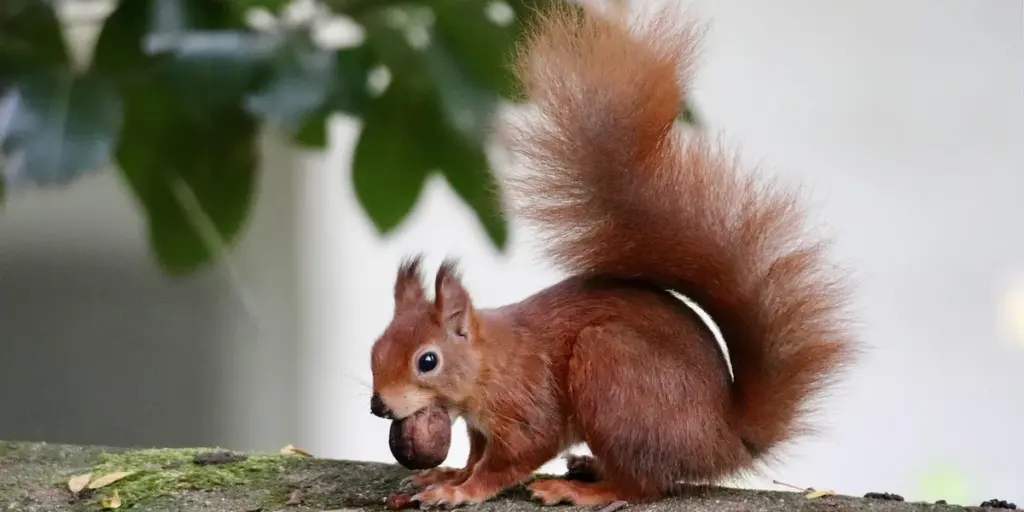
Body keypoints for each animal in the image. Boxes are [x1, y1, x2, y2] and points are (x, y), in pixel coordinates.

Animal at [368, 2, 857, 509]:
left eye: (427, 361)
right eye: (376, 348)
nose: (378, 405)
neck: (491, 363)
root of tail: (725, 439)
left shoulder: (527, 406)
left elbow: (511, 457)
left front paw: (462, 490)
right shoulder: (480, 426)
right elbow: (476, 452)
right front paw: (447, 475)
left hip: (612, 370)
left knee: (642, 485)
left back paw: (580, 490)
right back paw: (587, 467)